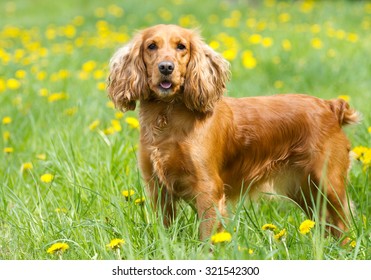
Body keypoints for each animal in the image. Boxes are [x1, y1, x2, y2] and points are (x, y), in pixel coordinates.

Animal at [107, 24, 360, 240]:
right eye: (151, 46)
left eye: (181, 46)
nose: (166, 67)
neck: (167, 117)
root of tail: (330, 106)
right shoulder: (157, 187)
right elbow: (166, 228)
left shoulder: (208, 188)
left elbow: (207, 235)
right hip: (305, 190)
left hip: (328, 183)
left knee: (343, 224)